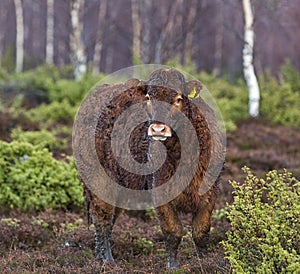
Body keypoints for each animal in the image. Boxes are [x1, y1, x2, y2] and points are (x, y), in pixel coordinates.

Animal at [81, 67, 223, 268]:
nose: (157, 129)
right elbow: (173, 231)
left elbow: (201, 231)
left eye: (178, 98)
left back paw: (99, 256)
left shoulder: (210, 193)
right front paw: (173, 266)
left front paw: (206, 261)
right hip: (99, 180)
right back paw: (107, 260)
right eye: (148, 97)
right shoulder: (161, 193)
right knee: (103, 220)